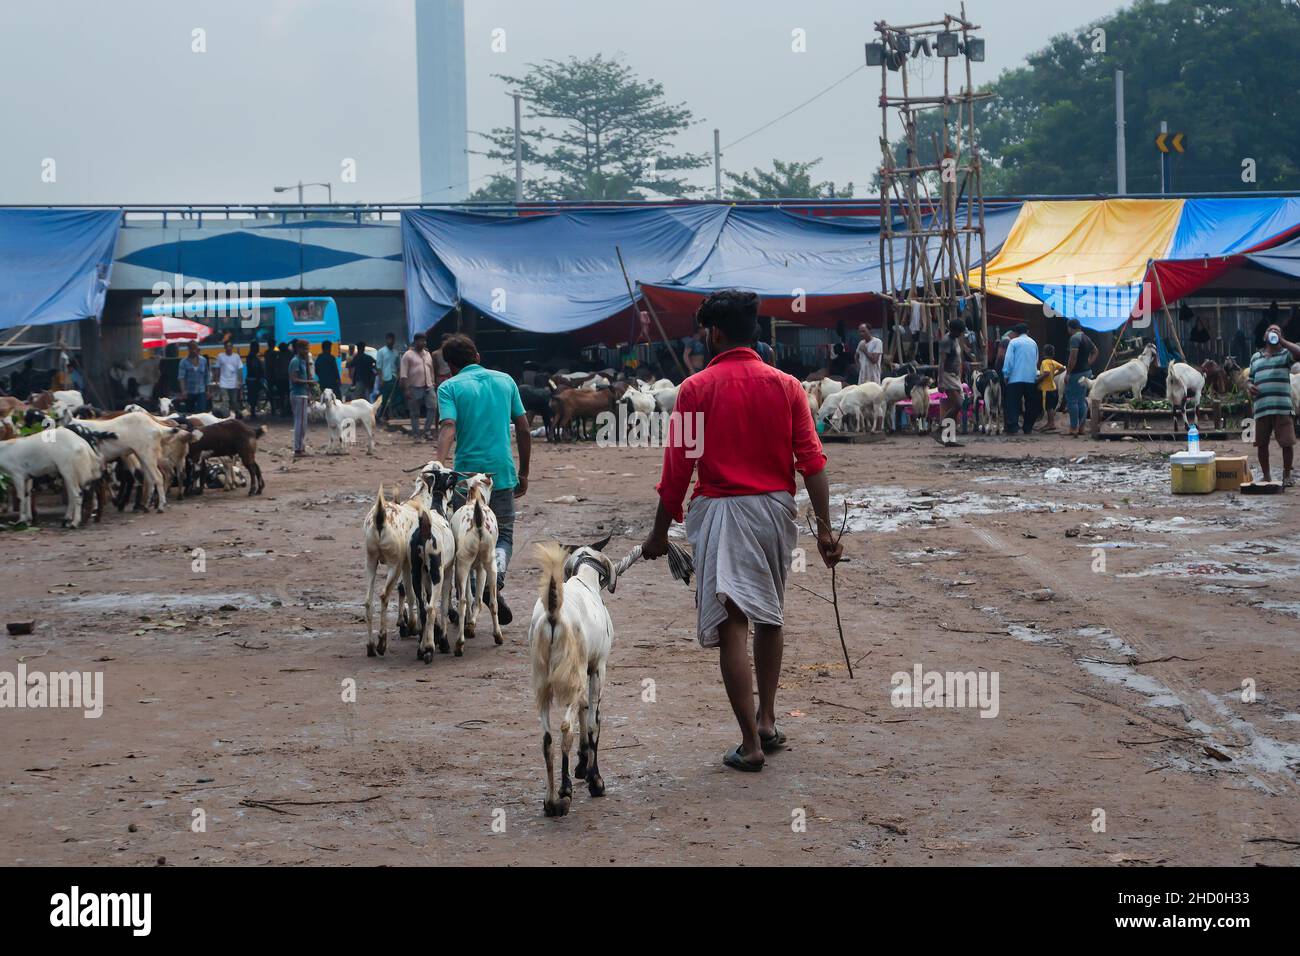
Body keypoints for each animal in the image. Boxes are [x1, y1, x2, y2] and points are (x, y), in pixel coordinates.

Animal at [452, 473, 501, 655]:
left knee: (465, 601)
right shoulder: (479, 568)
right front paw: (471, 625)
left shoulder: (472, 568)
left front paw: (470, 625)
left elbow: (471, 597)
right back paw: (497, 636)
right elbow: (476, 599)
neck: (475, 499)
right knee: (490, 602)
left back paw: (461, 643)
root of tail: (478, 523)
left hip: (466, 566)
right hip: (488, 565)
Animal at [535, 541, 621, 816]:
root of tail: (553, 615)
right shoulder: (598, 668)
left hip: (542, 682)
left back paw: (550, 801)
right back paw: (564, 792)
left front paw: (583, 765)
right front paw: (595, 780)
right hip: (573, 677)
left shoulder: (583, 671)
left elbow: (585, 711)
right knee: (565, 728)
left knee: (547, 738)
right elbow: (594, 720)